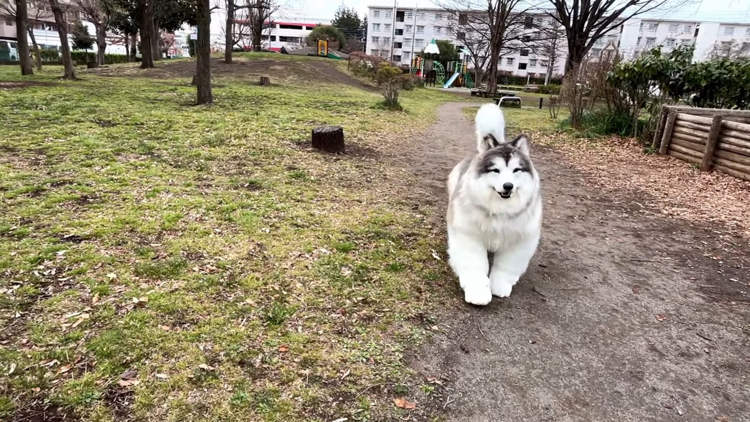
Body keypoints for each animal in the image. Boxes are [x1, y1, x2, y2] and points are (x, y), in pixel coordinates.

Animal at [450, 104, 544, 304]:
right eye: (496, 170)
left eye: (516, 170)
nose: (508, 186)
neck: (500, 208)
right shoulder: (468, 235)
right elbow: (475, 266)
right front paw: (478, 293)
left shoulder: (519, 240)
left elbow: (505, 268)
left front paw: (499, 286)